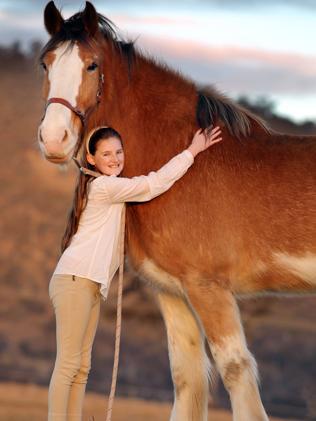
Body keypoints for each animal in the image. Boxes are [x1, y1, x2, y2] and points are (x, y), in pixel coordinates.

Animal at [37, 1, 316, 418]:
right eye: (45, 63)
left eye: (92, 65)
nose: (55, 139)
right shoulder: (173, 292)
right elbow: (187, 380)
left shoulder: (208, 288)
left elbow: (237, 374)